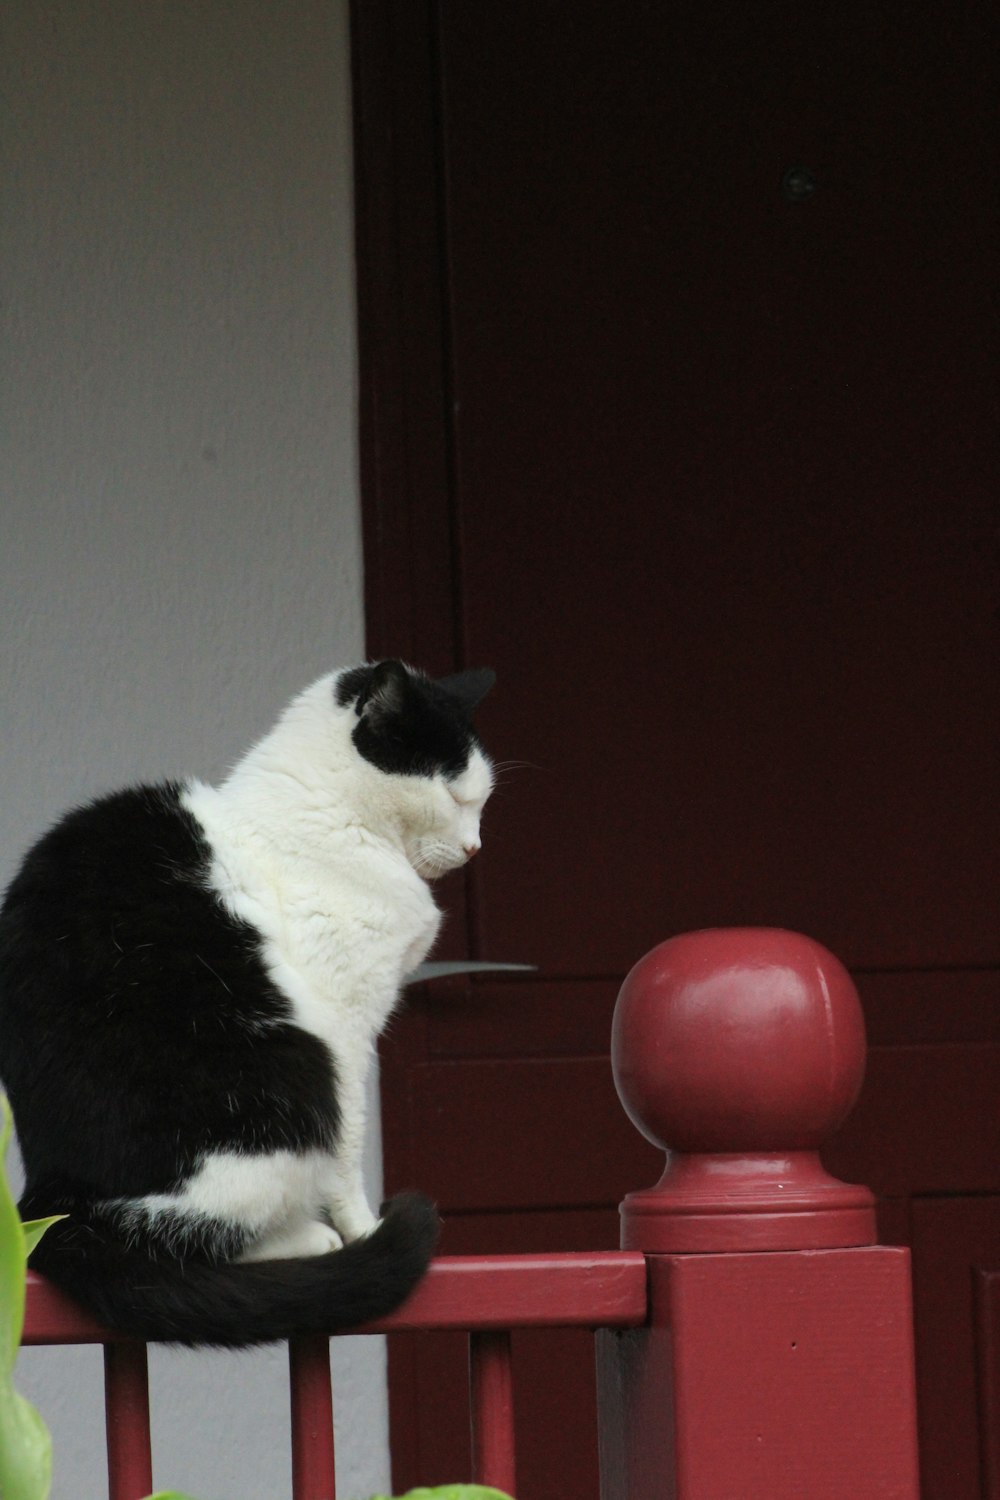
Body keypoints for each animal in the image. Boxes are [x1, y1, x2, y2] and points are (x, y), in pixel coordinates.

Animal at [0, 657, 497, 1350]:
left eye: (482, 800)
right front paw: (363, 1229)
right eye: (455, 795)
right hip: (298, 1072)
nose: (475, 847)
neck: (328, 818)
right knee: (190, 1241)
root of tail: (56, 1196)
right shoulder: (345, 1027)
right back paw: (310, 1239)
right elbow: (349, 1148)